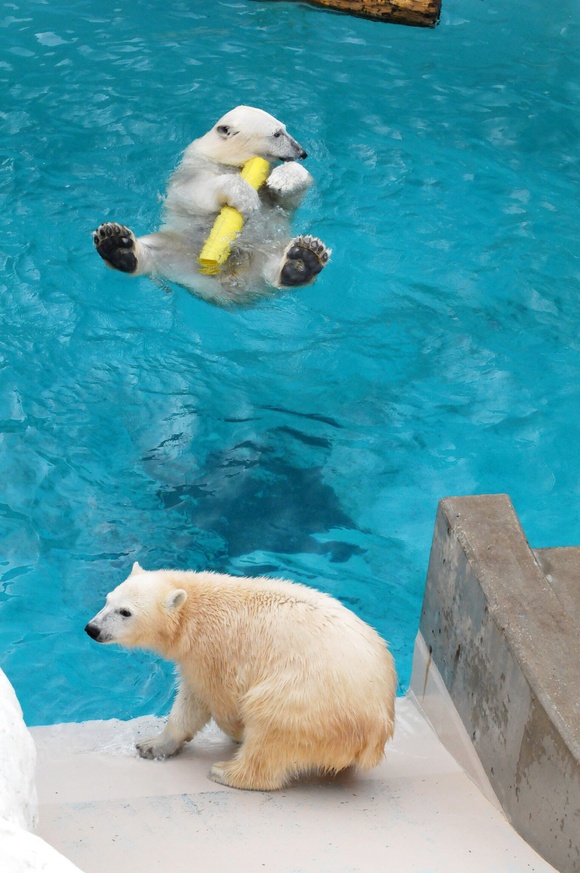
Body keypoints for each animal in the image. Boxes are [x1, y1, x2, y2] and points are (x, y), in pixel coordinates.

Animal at [95, 106, 330, 306]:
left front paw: (284, 178)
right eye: (277, 134)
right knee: (152, 252)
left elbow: (286, 200)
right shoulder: (194, 168)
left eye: (284, 129)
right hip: (180, 247)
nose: (302, 152)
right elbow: (194, 193)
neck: (226, 157)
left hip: (267, 249)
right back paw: (116, 245)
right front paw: (244, 195)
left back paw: (302, 261)